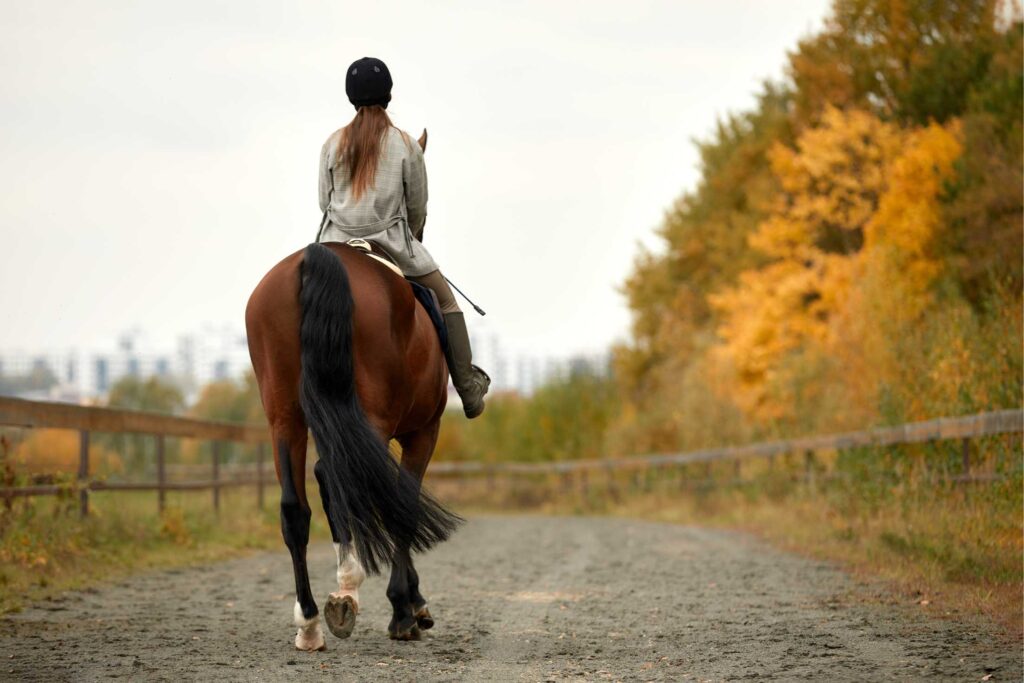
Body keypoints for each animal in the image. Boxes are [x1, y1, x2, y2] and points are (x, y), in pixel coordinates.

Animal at [244, 139, 461, 649]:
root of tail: (315, 261)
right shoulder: (424, 430)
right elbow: (402, 504)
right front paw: (407, 607)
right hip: (371, 419)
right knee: (342, 481)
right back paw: (347, 594)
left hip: (286, 416)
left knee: (296, 507)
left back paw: (309, 621)